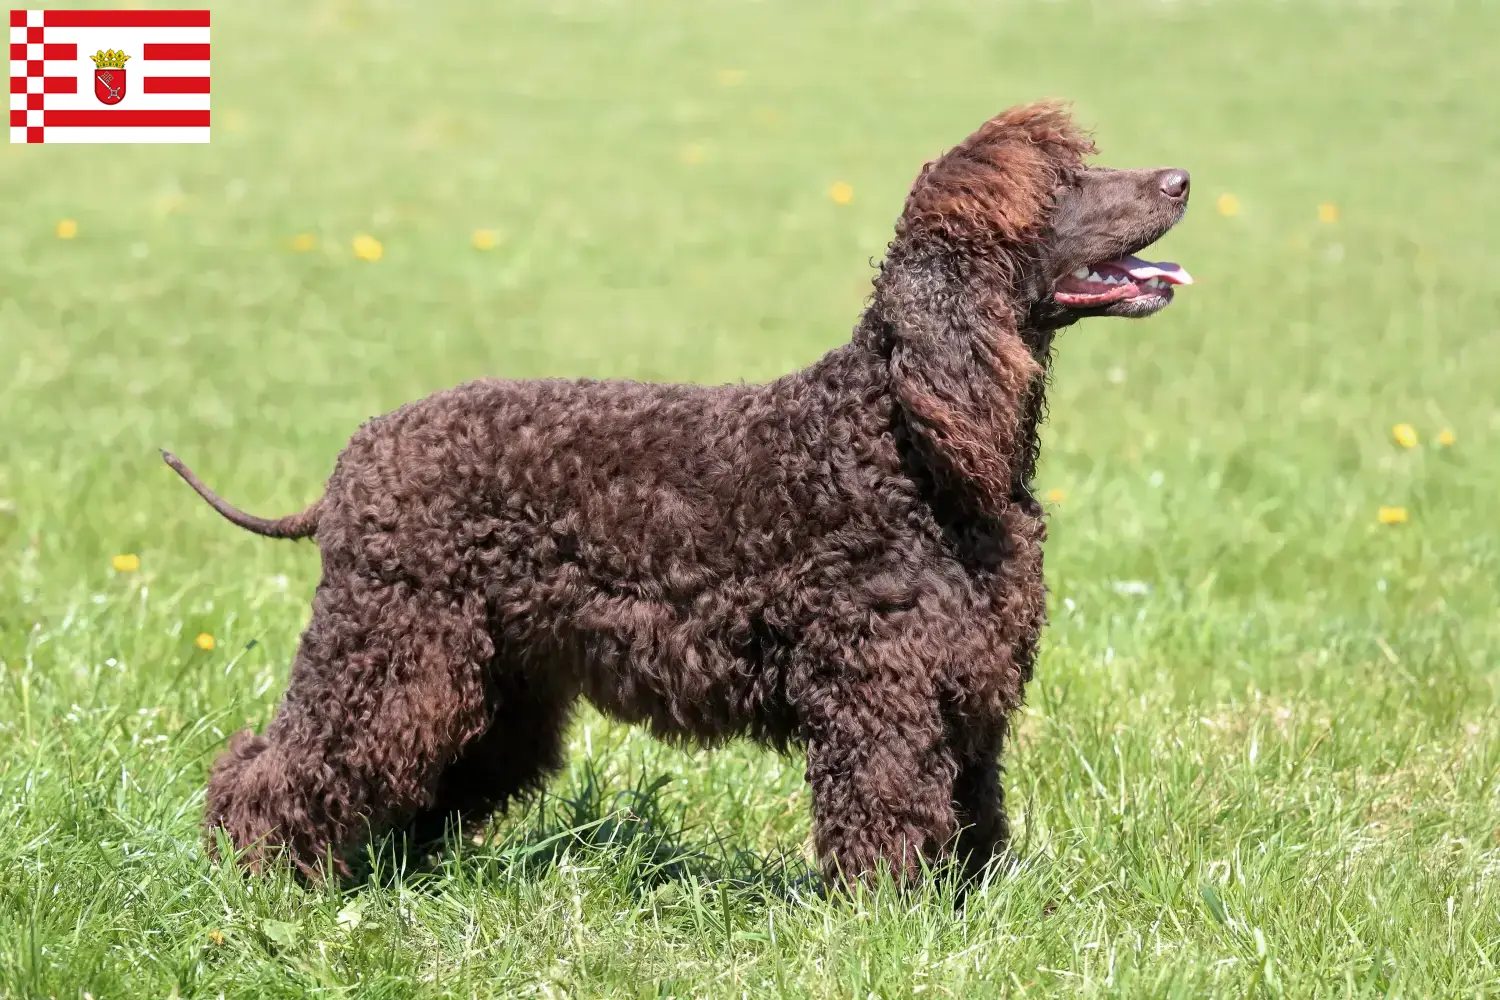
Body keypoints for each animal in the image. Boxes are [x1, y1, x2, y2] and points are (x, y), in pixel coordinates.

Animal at [167, 99, 1194, 881]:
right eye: (1061, 188)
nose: (1182, 178)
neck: (905, 440)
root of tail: (353, 460)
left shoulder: (968, 688)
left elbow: (974, 815)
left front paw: (967, 908)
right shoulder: (881, 691)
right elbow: (890, 813)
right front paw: (891, 922)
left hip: (491, 683)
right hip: (391, 646)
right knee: (278, 767)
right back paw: (259, 879)